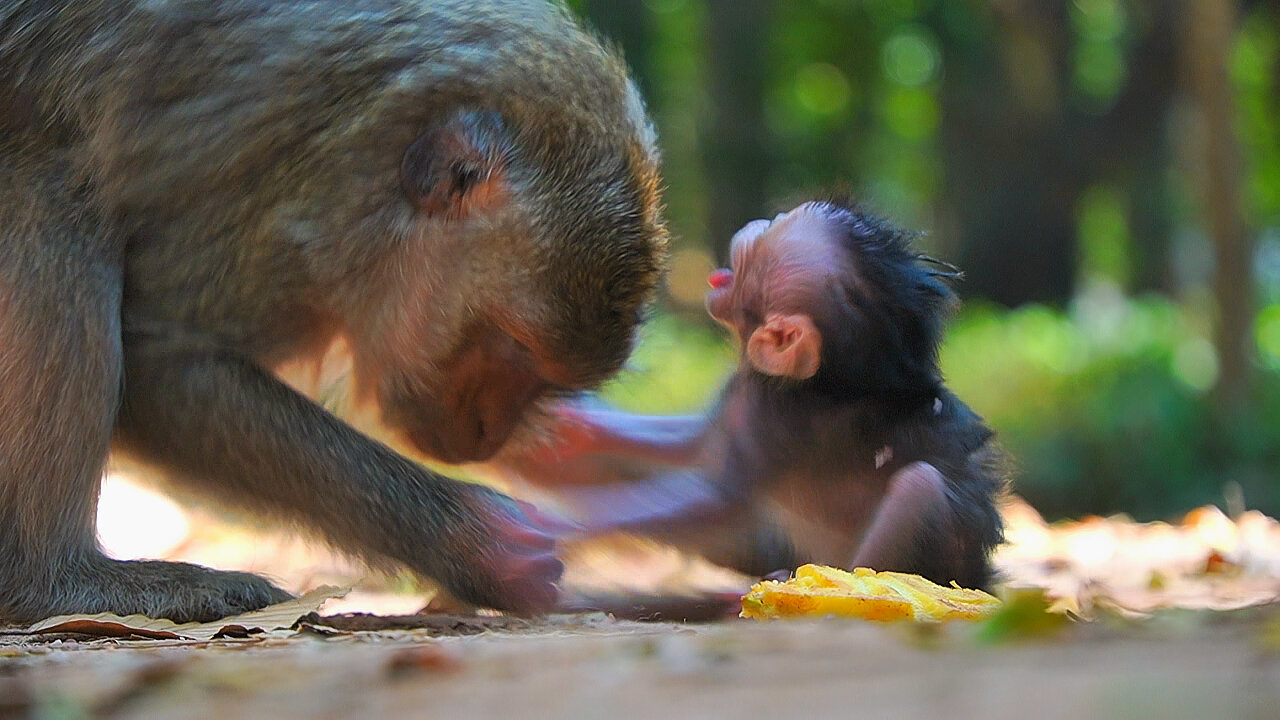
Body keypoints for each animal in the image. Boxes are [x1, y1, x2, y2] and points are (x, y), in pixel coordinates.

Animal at [0, 1, 665, 622]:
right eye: (513, 347)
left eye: (544, 379)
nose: (490, 433)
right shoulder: (292, 194)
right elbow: (160, 360)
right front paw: (477, 542)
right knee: (54, 190)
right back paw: (53, 578)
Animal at [504, 197, 1003, 589]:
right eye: (777, 221)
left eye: (764, 242)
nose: (757, 224)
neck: (813, 380)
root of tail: (979, 575)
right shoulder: (742, 397)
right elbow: (697, 442)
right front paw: (572, 431)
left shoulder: (772, 416)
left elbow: (717, 498)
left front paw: (558, 525)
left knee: (919, 486)